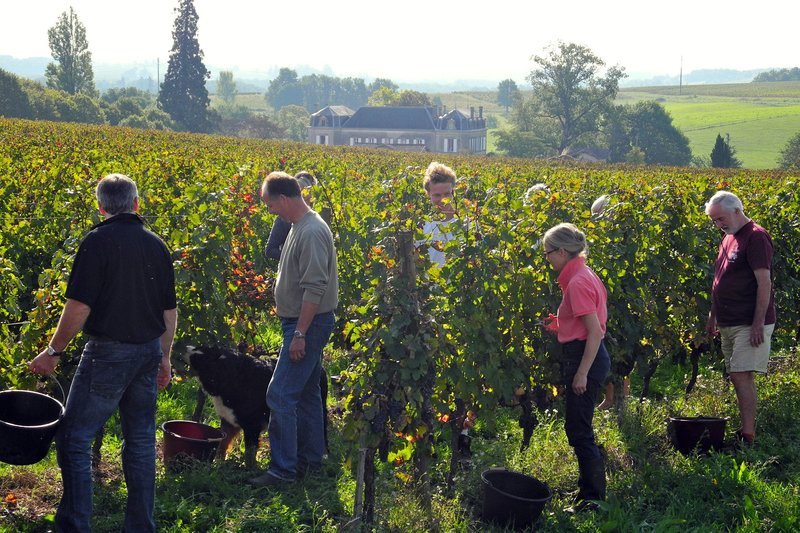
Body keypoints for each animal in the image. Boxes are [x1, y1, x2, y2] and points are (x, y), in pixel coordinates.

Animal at [185, 344, 328, 466]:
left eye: (201, 356)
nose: (186, 347)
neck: (232, 379)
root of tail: (321, 368)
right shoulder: (228, 421)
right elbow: (223, 443)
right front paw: (218, 463)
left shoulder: (252, 425)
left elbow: (250, 450)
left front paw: (248, 467)